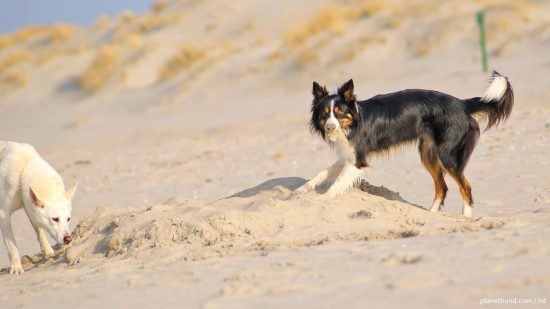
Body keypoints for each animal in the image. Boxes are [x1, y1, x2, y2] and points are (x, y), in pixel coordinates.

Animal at [0, 141, 77, 274]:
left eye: (68, 219)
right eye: (55, 219)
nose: (68, 239)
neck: (25, 166)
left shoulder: (29, 206)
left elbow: (40, 232)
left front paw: (48, 252)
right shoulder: (4, 214)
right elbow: (12, 246)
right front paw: (16, 267)